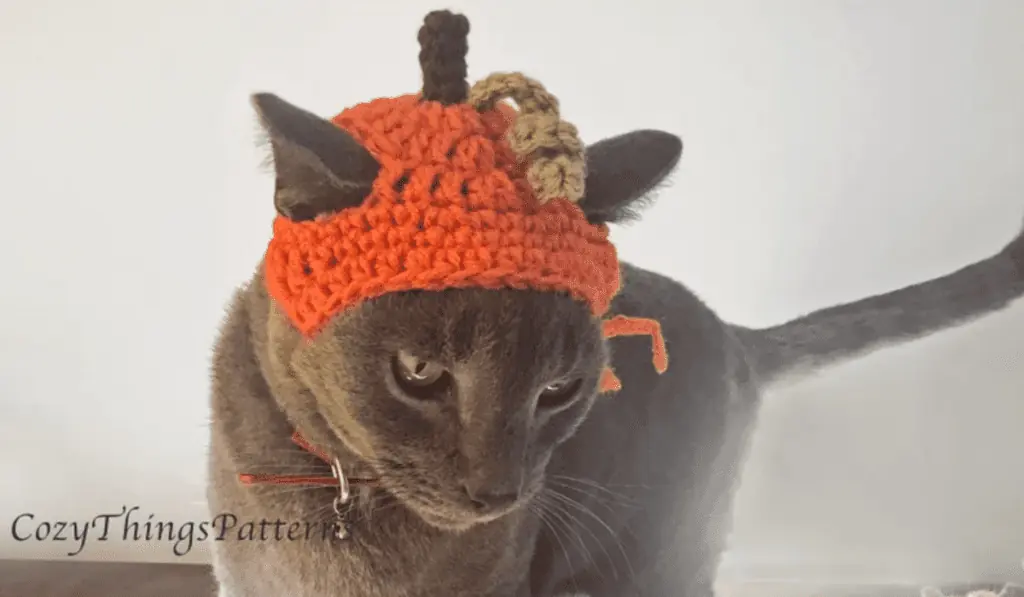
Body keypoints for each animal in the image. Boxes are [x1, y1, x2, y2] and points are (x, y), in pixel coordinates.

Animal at [205, 15, 1024, 597]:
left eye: (560, 390)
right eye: (419, 370)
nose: (497, 493)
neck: (340, 504)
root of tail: (737, 333)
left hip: (658, 560)